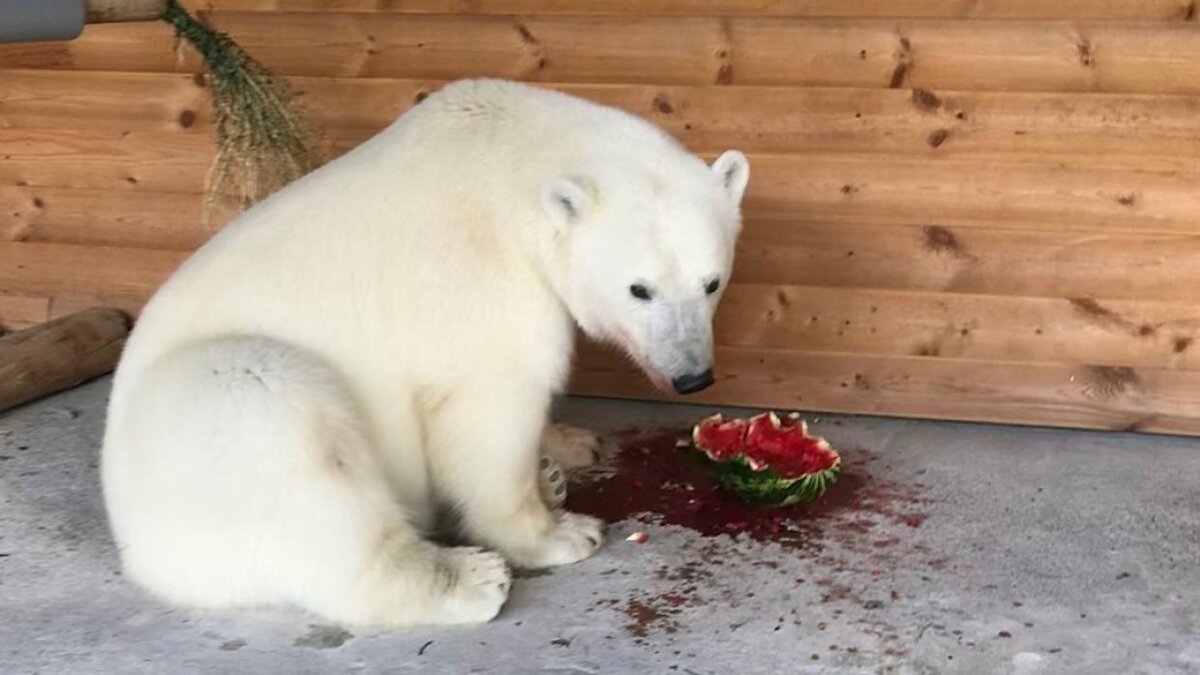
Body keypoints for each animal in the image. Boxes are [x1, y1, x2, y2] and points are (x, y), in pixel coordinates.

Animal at [98, 77, 748, 624]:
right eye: (639, 289)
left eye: (711, 282)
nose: (692, 376)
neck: (510, 162)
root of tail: (139, 552)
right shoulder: (483, 282)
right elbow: (490, 410)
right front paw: (559, 533)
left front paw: (568, 445)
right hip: (211, 424)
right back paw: (471, 579)